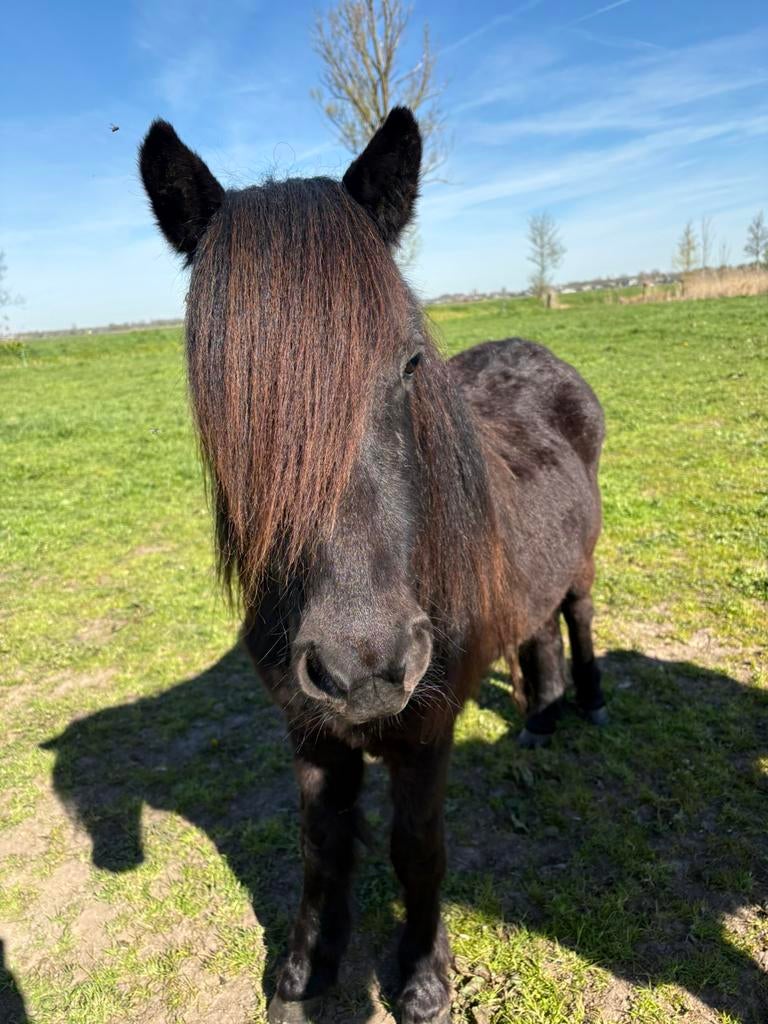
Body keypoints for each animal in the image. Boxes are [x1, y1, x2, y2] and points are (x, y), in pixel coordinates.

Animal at [139, 106, 606, 1024]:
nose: (365, 668)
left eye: (410, 365)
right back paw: (539, 722)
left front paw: (423, 978)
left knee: (576, 615)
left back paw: (593, 702)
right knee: (537, 634)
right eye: (222, 392)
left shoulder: (426, 732)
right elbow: (322, 845)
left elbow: (416, 846)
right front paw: (302, 971)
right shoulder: (311, 730)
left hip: (582, 567)